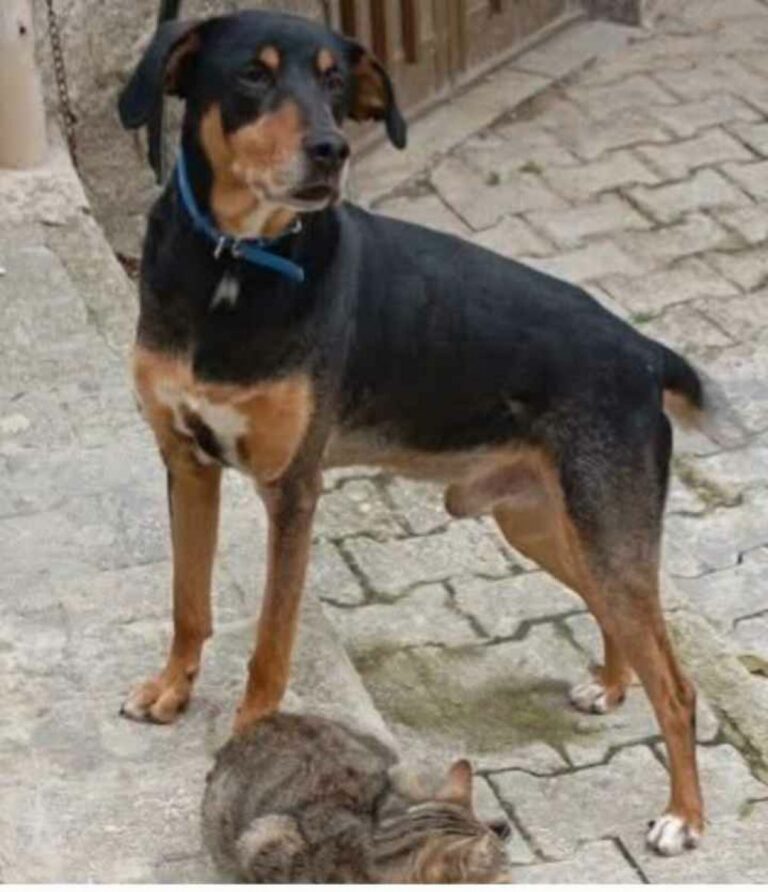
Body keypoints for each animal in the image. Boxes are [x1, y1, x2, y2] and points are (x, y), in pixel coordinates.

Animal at [117, 9, 737, 857]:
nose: (331, 151)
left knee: (676, 685)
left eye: (334, 82)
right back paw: (612, 686)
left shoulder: (292, 493)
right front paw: (170, 689)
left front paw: (251, 738)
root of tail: (644, 352)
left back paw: (683, 815)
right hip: (545, 524)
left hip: (607, 530)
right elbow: (189, 603)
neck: (236, 267)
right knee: (621, 623)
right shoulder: (186, 463)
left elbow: (270, 648)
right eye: (253, 74)